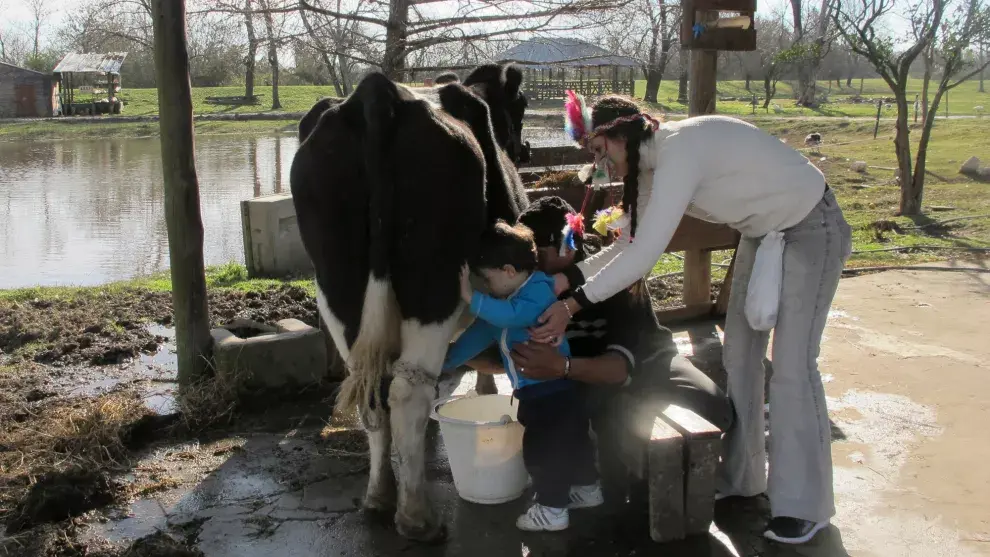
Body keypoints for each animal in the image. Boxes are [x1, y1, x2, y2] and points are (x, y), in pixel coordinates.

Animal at [288, 63, 532, 540]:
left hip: (337, 283)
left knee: (370, 389)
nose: (523, 149)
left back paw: (378, 497)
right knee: (407, 393)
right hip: (432, 282)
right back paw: (418, 516)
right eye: (521, 106)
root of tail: (377, 92)